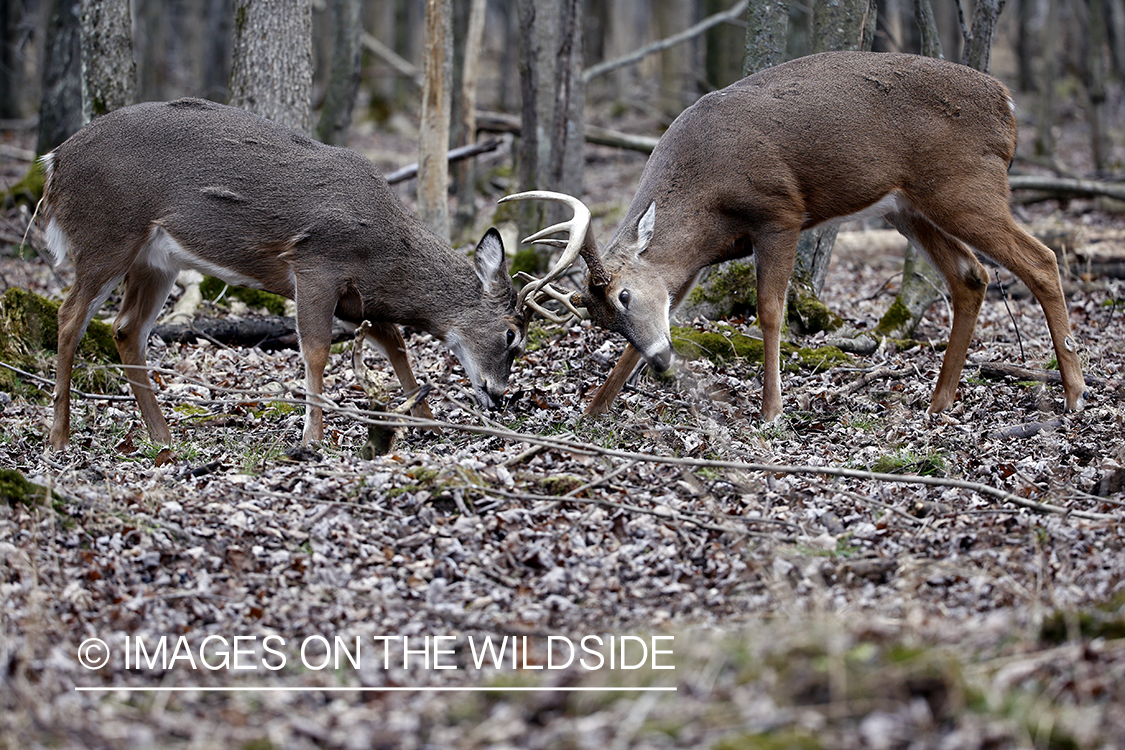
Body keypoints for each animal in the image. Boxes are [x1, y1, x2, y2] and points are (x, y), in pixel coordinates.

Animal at [43, 94, 526, 449]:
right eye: (511, 335)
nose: (499, 395)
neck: (388, 252)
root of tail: (53, 162)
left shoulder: (359, 299)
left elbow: (396, 346)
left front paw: (427, 421)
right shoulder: (317, 264)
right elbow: (315, 350)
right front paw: (312, 437)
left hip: (155, 260)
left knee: (126, 328)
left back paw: (163, 437)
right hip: (106, 235)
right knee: (69, 318)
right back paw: (59, 438)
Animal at [506, 52, 1084, 422]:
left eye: (623, 295)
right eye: (602, 318)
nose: (663, 362)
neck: (706, 193)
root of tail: (1007, 105)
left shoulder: (779, 214)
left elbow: (769, 311)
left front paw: (771, 410)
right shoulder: (694, 259)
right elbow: (666, 313)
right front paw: (594, 408)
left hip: (965, 185)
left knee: (1041, 259)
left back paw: (1075, 392)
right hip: (908, 206)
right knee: (971, 275)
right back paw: (939, 402)